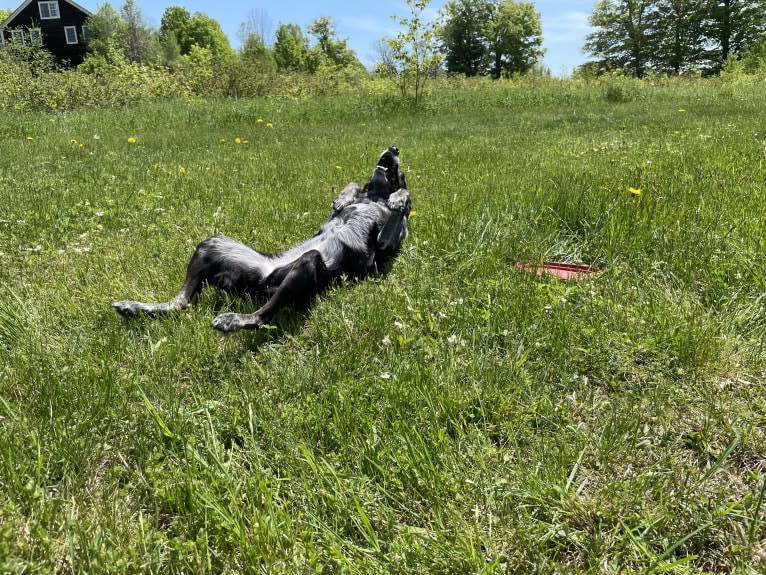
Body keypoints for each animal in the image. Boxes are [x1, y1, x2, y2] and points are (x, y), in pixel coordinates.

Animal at [112, 146, 414, 332]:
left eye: (401, 173)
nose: (395, 148)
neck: (375, 195)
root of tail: (255, 283)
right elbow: (348, 189)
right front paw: (343, 197)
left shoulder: (386, 242)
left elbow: (403, 205)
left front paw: (400, 199)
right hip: (213, 244)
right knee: (181, 302)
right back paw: (134, 306)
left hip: (306, 265)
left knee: (261, 316)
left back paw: (233, 321)